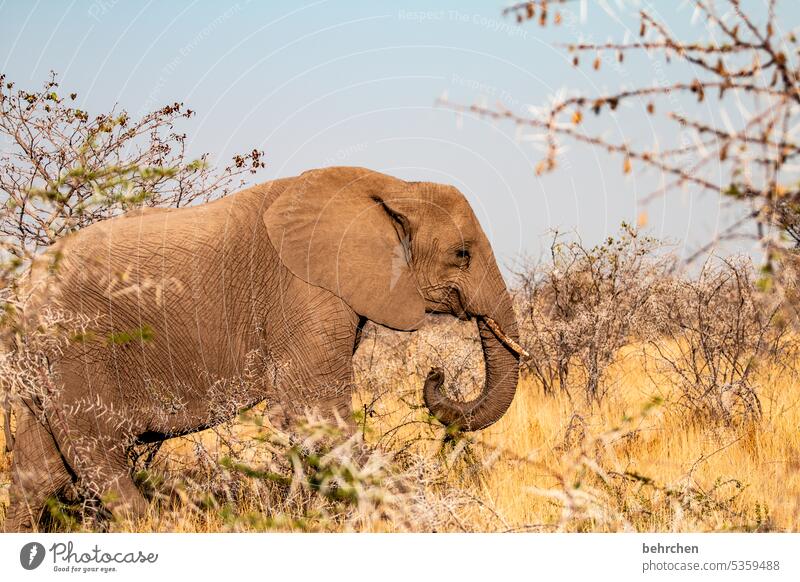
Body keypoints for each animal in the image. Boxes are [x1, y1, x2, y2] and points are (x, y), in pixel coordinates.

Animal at [3, 167, 528, 532]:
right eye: (462, 254)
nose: (435, 374)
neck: (392, 185)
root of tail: (25, 284)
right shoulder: (304, 291)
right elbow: (319, 416)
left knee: (39, 473)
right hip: (78, 348)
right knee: (99, 458)